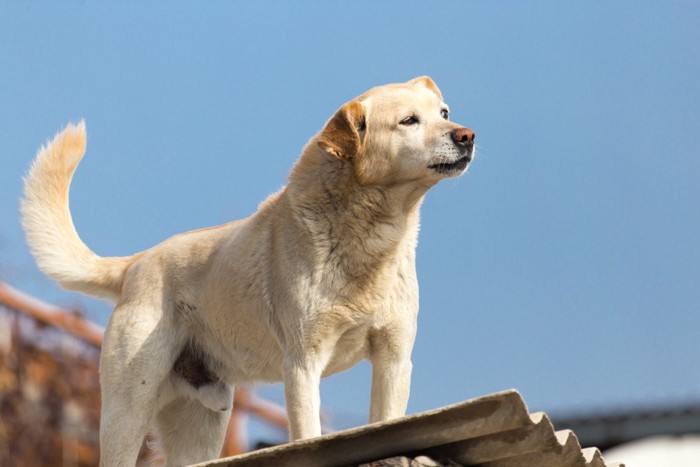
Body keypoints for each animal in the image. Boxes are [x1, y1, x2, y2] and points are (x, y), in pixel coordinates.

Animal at [21, 77, 476, 467]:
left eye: (444, 112)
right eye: (409, 121)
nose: (467, 135)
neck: (369, 239)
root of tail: (138, 262)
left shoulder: (393, 359)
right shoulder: (303, 364)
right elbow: (308, 434)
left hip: (199, 425)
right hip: (128, 408)